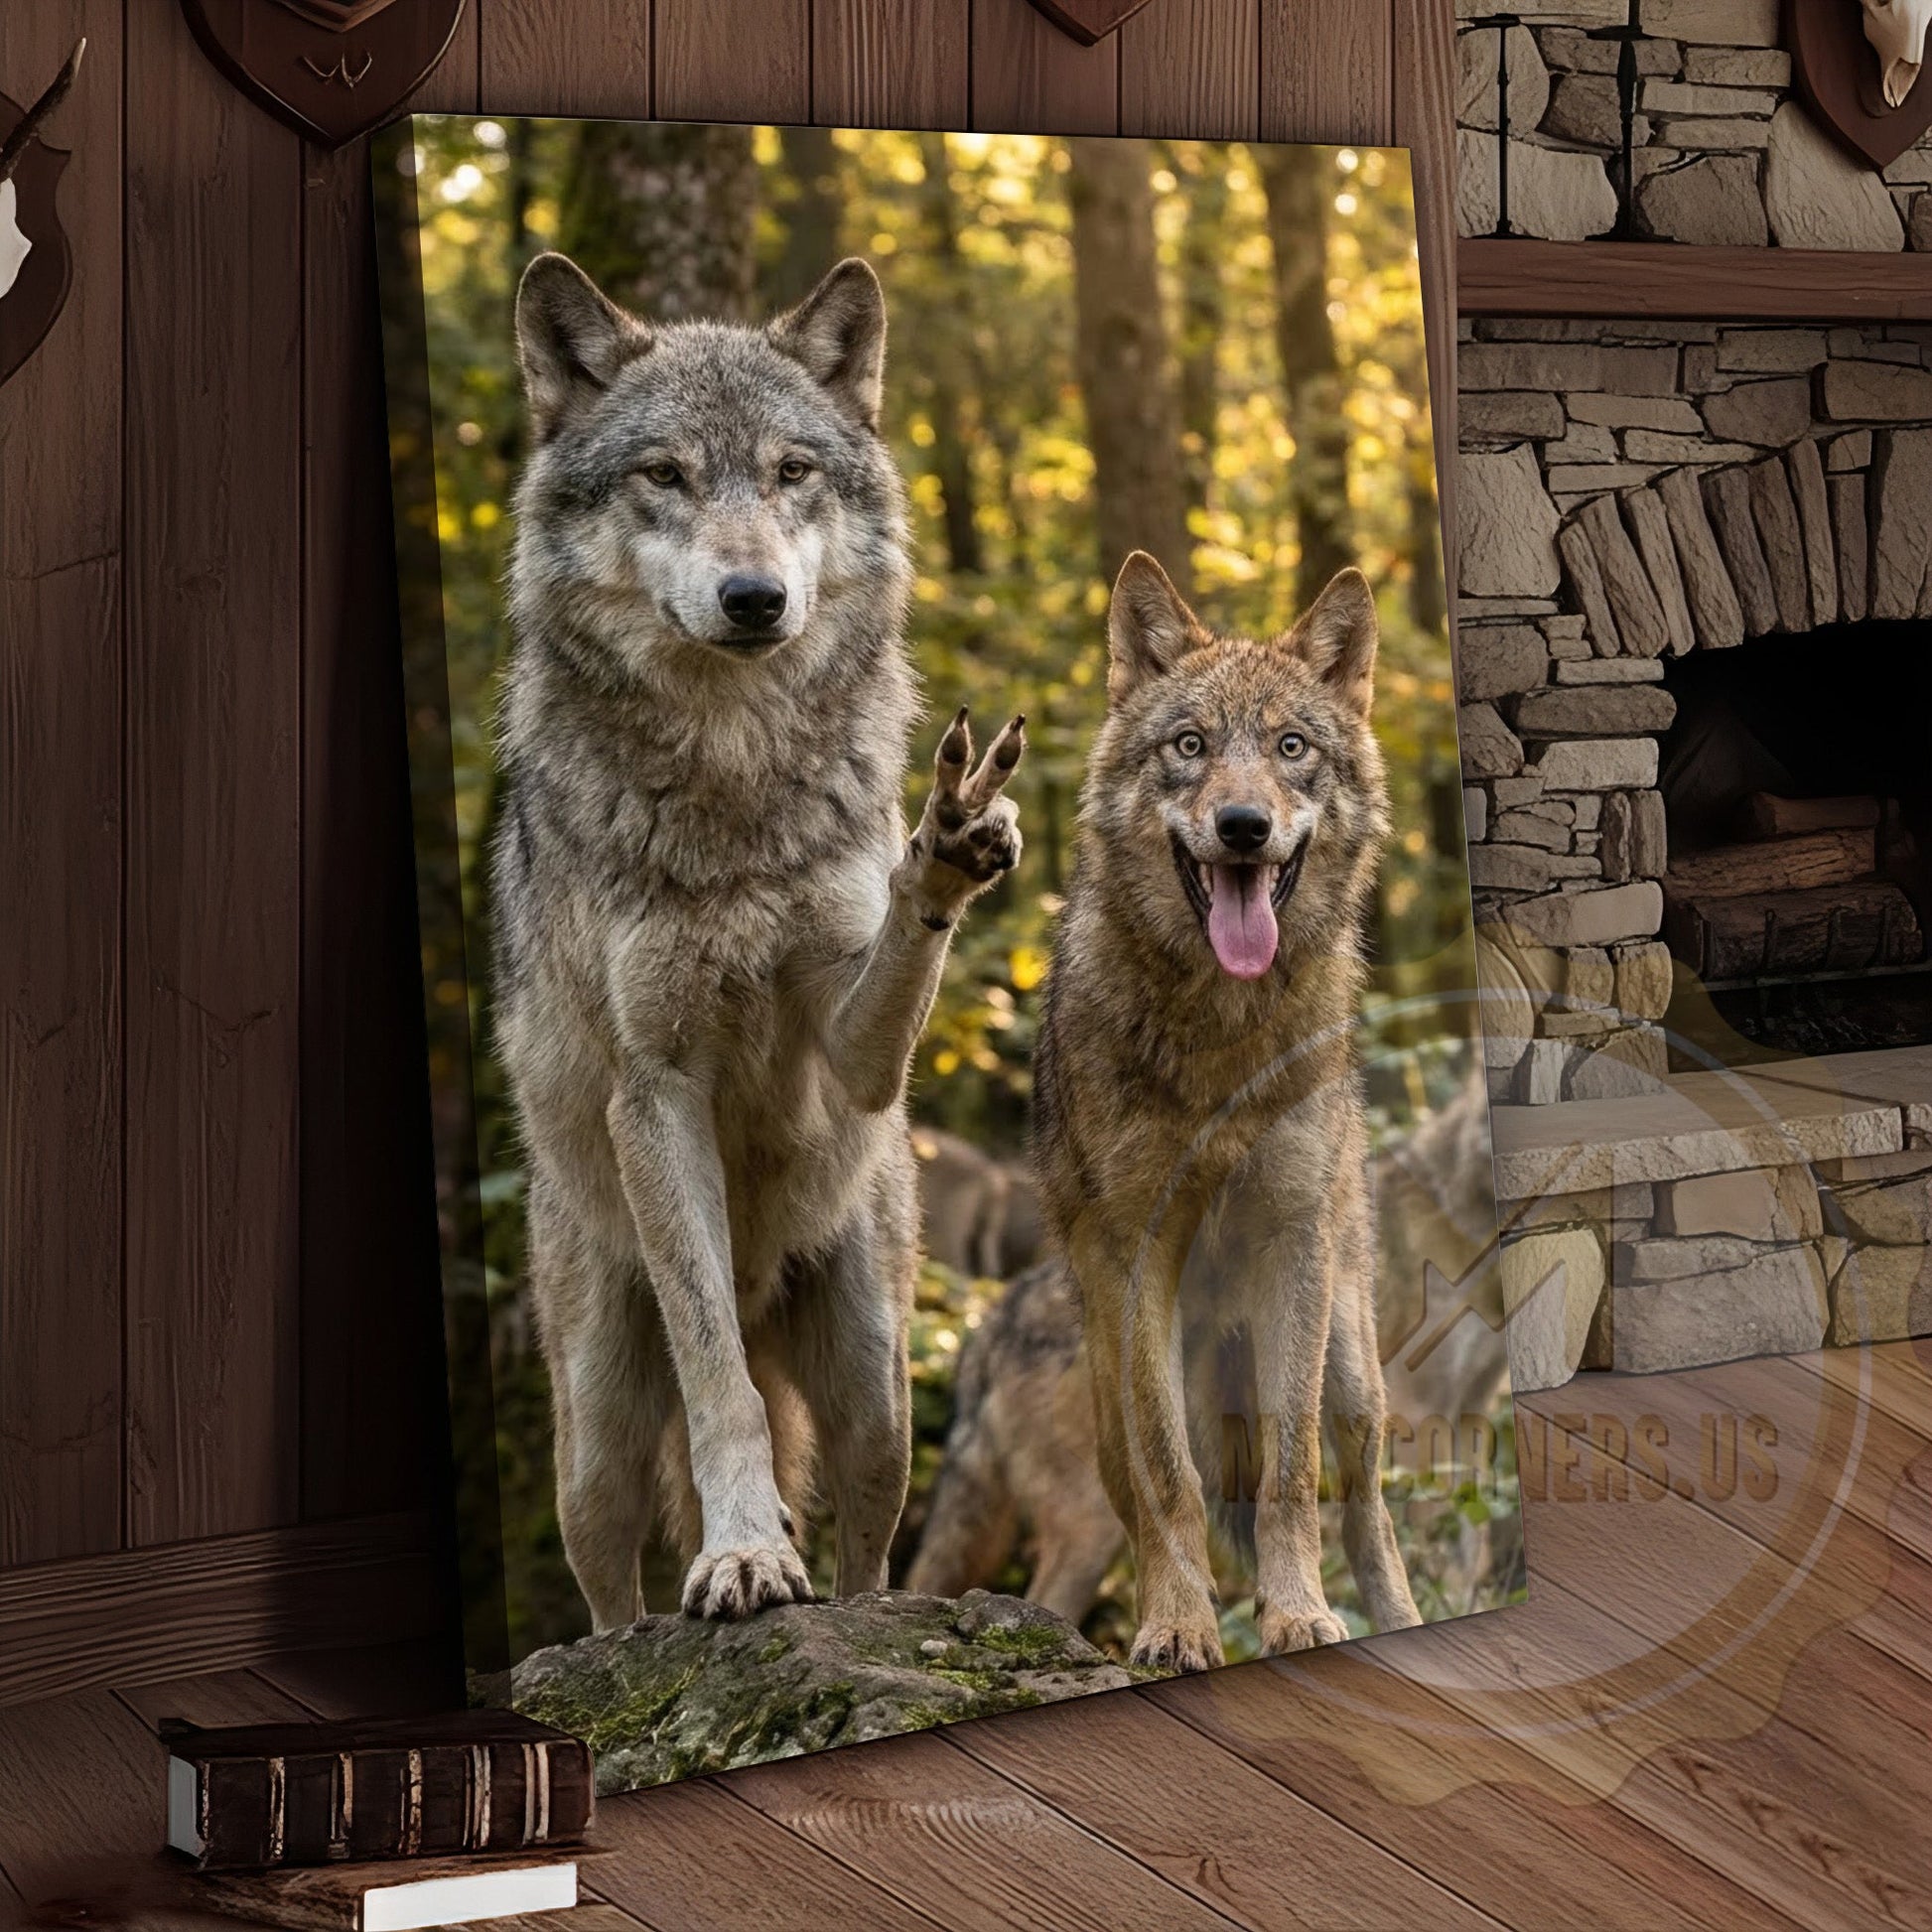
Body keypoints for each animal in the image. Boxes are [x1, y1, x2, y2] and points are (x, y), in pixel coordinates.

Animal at [497, 250, 1025, 1629]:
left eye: (791, 471)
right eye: (664, 474)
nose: (754, 597)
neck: (731, 780)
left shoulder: (851, 1047)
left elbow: (890, 953)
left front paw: (943, 843)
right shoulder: (655, 1088)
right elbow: (718, 1380)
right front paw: (741, 1553)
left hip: (879, 1388)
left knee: (871, 1550)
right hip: (591, 1439)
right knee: (605, 1593)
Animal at [1033, 550, 1421, 1671]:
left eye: (1290, 747)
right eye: (1190, 746)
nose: (1242, 826)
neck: (1222, 1037)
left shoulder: (1291, 1247)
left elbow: (1290, 1477)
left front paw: (1297, 1615)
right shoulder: (1135, 1260)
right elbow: (1171, 1482)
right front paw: (1177, 1625)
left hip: (1351, 1369)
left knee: (1368, 1512)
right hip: (1104, 1377)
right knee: (1144, 1486)